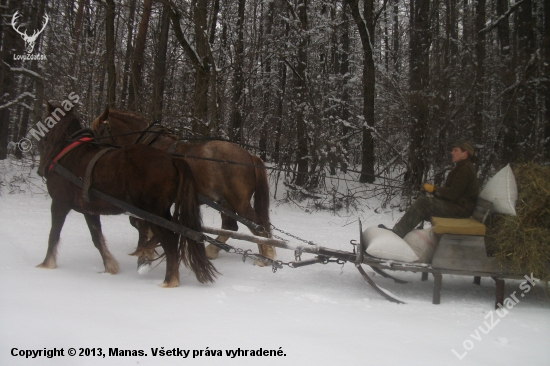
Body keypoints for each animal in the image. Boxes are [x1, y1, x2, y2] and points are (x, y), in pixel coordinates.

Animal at [36, 101, 217, 288]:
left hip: (154, 213)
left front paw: (46, 264)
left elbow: (53, 234)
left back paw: (169, 280)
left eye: (45, 127)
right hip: (161, 212)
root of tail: (173, 159)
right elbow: (97, 238)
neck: (67, 152)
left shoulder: (59, 203)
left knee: (171, 241)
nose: (40, 170)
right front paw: (110, 266)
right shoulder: (89, 210)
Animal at [92, 108, 278, 266]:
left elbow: (140, 221)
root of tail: (250, 156)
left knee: (257, 226)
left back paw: (266, 257)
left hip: (239, 202)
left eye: (97, 131)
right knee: (231, 226)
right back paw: (213, 251)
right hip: (225, 202)